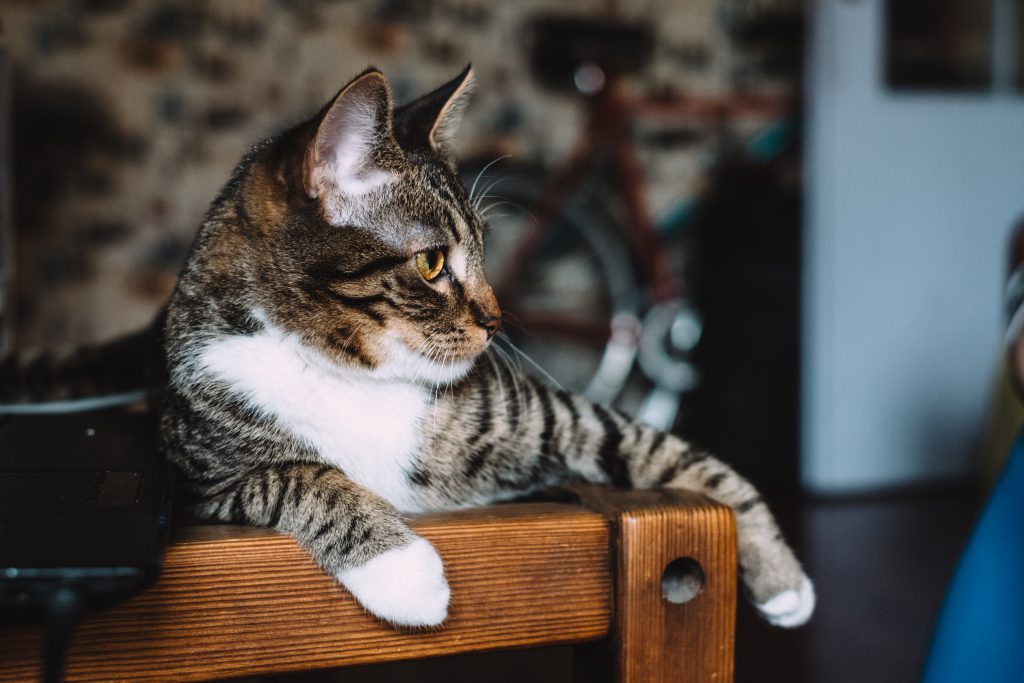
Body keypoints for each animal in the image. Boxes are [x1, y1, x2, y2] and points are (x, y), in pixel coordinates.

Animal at [0, 65, 815, 630]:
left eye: (484, 250)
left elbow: (676, 453)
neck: (354, 374)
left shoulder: (556, 418)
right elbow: (298, 475)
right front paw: (405, 570)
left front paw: (783, 578)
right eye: (431, 263)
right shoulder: (202, 474)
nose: (498, 319)